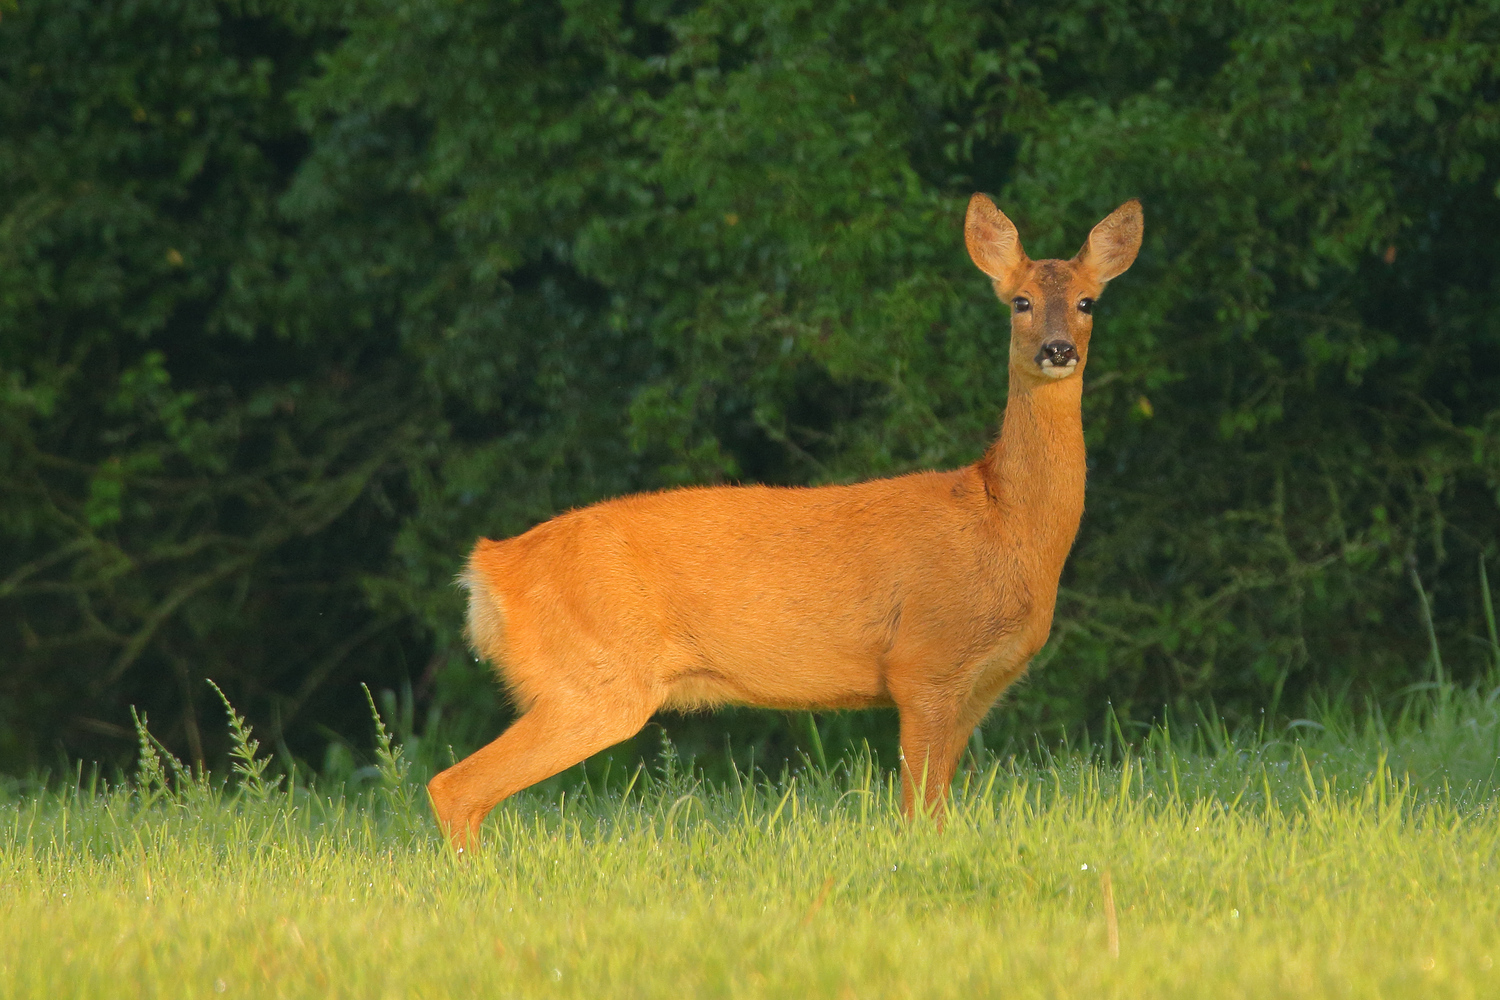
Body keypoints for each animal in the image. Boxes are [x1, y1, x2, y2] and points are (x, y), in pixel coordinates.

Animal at [429, 191, 1140, 851]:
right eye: (1019, 301)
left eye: (1087, 303)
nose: (1057, 349)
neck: (1007, 524)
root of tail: (488, 570)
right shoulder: (924, 665)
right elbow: (916, 816)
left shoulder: (977, 690)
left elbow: (937, 812)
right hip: (593, 680)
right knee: (454, 786)